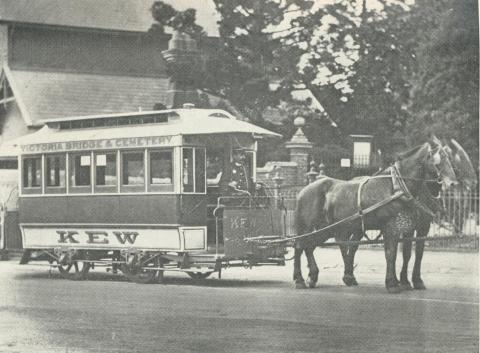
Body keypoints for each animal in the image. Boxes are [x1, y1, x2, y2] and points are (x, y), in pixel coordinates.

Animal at [292, 140, 458, 292]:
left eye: (449, 158)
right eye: (440, 159)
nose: (453, 183)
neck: (395, 186)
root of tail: (304, 190)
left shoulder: (409, 227)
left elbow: (408, 254)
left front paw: (403, 281)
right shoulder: (391, 227)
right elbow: (391, 254)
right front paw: (393, 283)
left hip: (327, 228)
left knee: (310, 246)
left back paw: (314, 276)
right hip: (307, 226)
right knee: (300, 245)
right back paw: (300, 279)